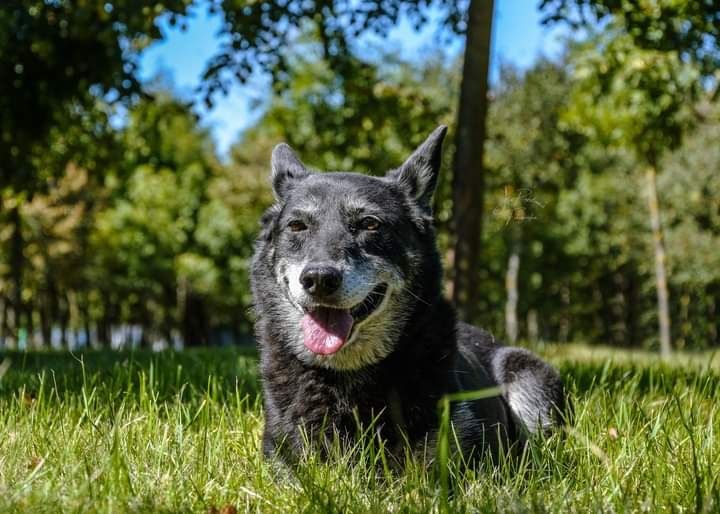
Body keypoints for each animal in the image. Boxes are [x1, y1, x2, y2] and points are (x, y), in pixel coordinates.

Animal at [253, 125, 568, 464]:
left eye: (369, 224)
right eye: (297, 226)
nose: (319, 279)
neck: (344, 373)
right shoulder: (282, 454)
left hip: (528, 382)